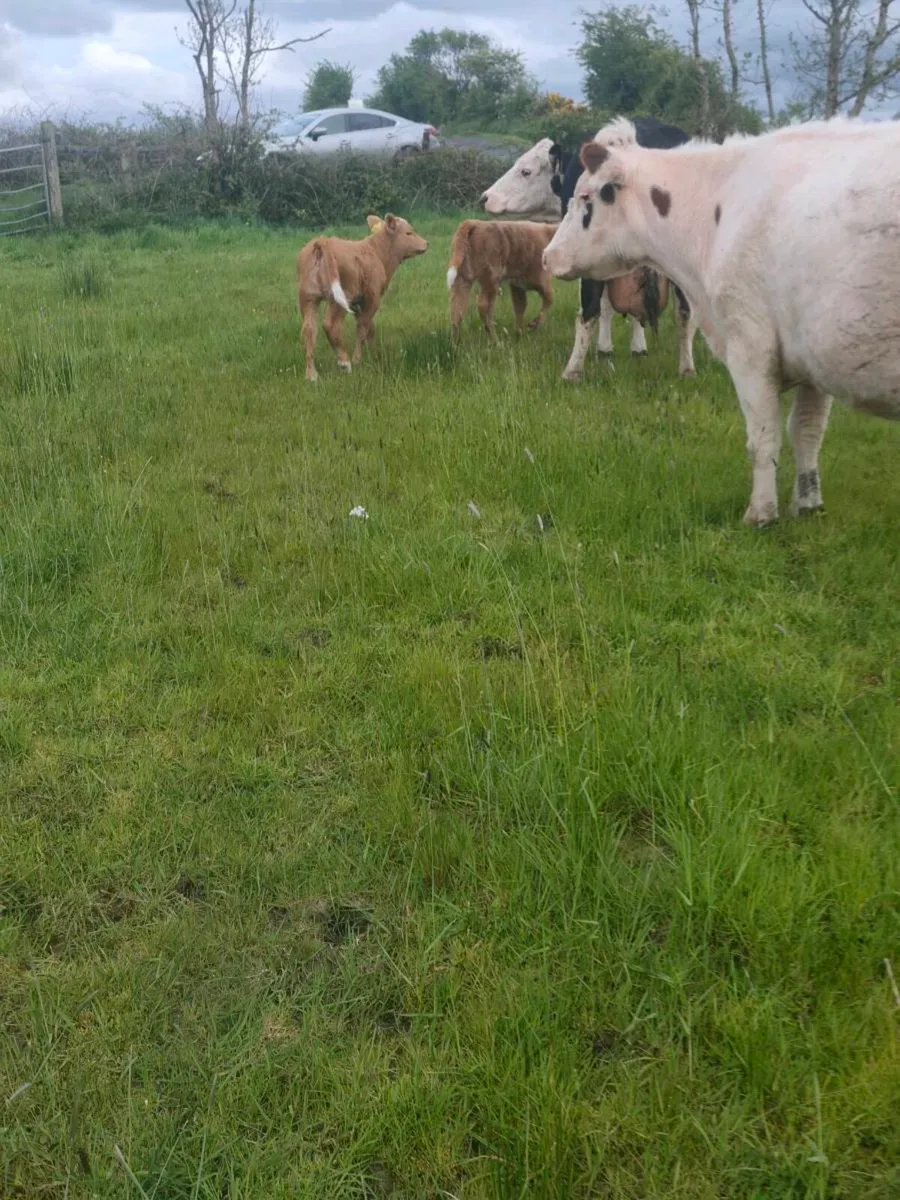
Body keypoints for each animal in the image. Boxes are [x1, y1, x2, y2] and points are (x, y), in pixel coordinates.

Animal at [297, 213, 428, 381]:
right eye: (409, 233)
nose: (426, 243)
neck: (377, 253)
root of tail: (323, 241)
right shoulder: (372, 298)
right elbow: (362, 327)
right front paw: (358, 359)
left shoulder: (358, 303)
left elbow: (370, 327)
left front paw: (375, 355)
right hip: (340, 299)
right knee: (330, 325)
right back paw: (344, 362)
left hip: (308, 298)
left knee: (309, 329)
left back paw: (311, 374)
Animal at [481, 117, 697, 381]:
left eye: (525, 171)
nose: (485, 197)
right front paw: (637, 347)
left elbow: (600, 307)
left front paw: (604, 349)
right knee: (684, 312)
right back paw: (687, 369)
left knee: (589, 312)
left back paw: (572, 371)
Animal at [543, 116, 900, 524]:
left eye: (585, 197)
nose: (547, 255)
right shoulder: (812, 358)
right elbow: (807, 432)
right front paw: (808, 503)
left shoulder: (750, 346)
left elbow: (763, 436)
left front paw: (761, 513)